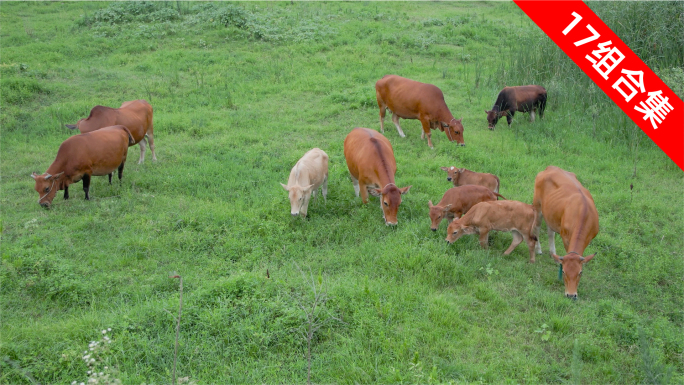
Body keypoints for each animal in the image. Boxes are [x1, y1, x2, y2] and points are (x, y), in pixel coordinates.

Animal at [532, 164, 596, 296]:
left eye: (580, 272)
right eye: (564, 272)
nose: (571, 295)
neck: (583, 213)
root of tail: (551, 167)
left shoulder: (588, 239)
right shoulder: (565, 237)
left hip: (550, 213)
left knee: (550, 232)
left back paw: (553, 253)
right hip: (537, 206)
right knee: (537, 227)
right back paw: (538, 249)